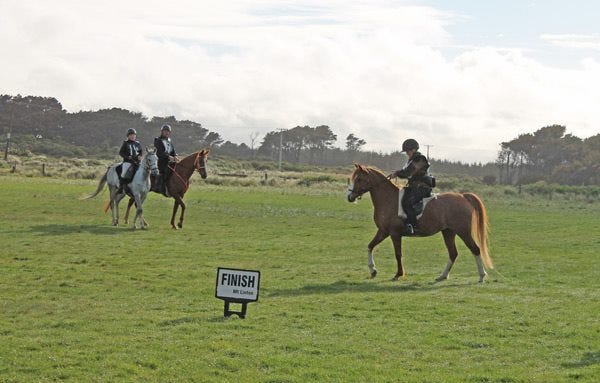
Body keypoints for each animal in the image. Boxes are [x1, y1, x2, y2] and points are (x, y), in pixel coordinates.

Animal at [346, 164, 492, 284]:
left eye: (359, 179)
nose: (349, 197)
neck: (388, 199)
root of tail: (463, 196)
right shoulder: (383, 231)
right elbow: (370, 246)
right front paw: (373, 271)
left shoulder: (394, 233)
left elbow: (398, 254)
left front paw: (398, 274)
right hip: (448, 232)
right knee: (453, 253)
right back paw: (442, 276)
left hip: (463, 231)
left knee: (475, 249)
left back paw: (481, 276)